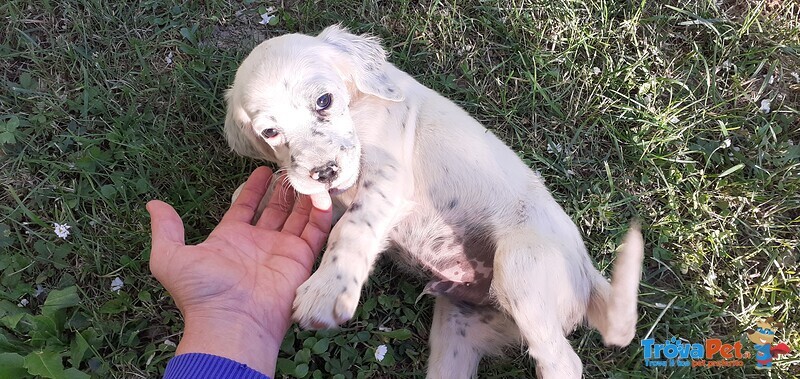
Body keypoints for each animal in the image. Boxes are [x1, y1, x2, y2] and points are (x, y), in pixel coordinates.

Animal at [223, 25, 644, 378]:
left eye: (324, 101)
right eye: (270, 132)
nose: (324, 172)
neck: (358, 107)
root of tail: (587, 273)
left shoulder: (388, 176)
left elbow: (351, 227)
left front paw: (328, 291)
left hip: (522, 268)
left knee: (562, 361)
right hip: (458, 329)